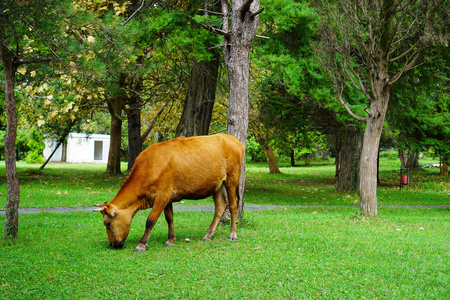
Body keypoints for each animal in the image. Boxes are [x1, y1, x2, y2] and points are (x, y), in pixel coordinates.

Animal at [92, 134, 244, 253]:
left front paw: (141, 244)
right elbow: (169, 218)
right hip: (216, 185)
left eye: (108, 224)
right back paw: (208, 235)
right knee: (220, 206)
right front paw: (170, 239)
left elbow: (150, 220)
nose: (112, 245)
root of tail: (234, 139)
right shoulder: (168, 197)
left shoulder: (162, 196)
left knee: (233, 205)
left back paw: (233, 234)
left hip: (232, 178)